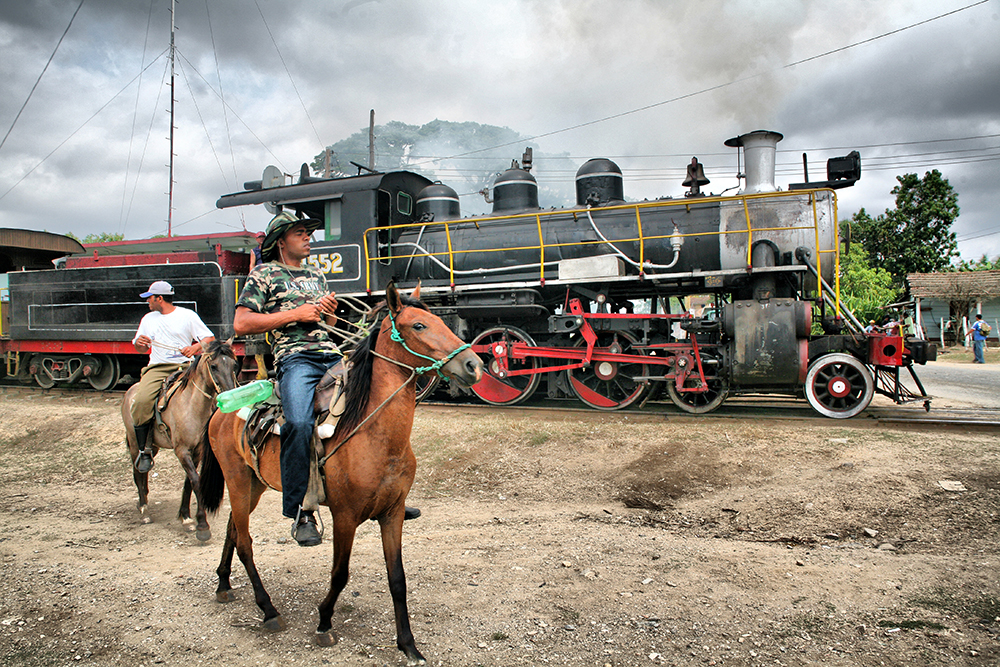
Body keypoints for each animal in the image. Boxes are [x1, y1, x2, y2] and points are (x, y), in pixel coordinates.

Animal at [120, 342, 237, 540]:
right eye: (213, 366)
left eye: (234, 365)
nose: (231, 397)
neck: (192, 406)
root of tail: (131, 391)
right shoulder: (181, 450)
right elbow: (196, 481)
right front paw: (202, 526)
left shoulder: (196, 452)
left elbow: (189, 482)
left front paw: (186, 518)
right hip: (135, 442)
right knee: (138, 471)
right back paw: (143, 510)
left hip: (153, 445)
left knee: (143, 470)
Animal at [199, 284, 480, 664]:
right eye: (419, 325)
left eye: (441, 321)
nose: (474, 365)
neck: (375, 433)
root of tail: (221, 407)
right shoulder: (345, 516)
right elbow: (340, 573)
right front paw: (323, 622)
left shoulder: (392, 513)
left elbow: (398, 579)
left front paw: (409, 645)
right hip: (239, 481)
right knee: (244, 542)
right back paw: (268, 610)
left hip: (254, 484)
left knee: (232, 529)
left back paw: (223, 584)